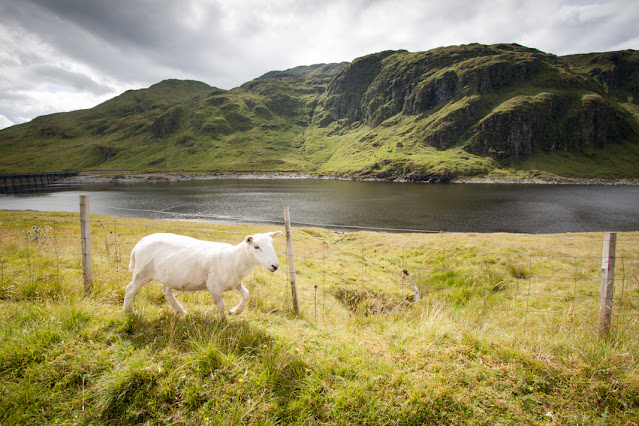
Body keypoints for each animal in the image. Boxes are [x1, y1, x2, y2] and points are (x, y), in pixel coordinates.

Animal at [123, 231, 282, 314]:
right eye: (256, 247)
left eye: (271, 245)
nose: (275, 266)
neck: (235, 257)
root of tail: (139, 243)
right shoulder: (214, 286)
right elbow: (221, 305)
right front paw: (223, 323)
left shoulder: (235, 283)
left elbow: (246, 294)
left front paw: (235, 311)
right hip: (141, 273)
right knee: (130, 289)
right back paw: (127, 312)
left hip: (170, 275)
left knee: (166, 292)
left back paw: (182, 312)